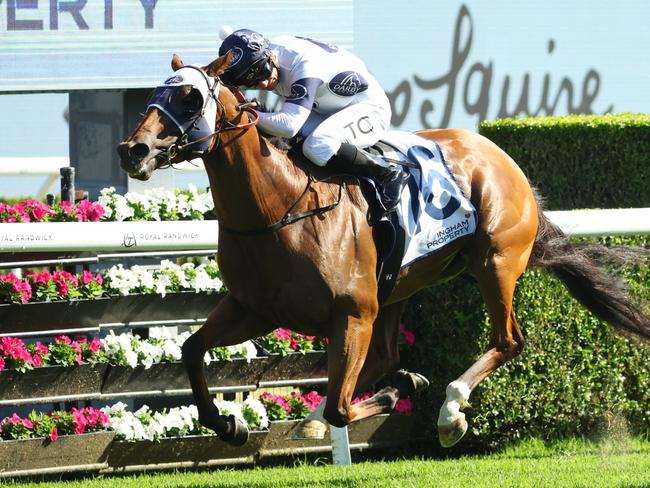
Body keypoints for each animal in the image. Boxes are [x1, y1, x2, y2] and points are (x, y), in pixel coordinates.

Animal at [116, 52, 648, 446]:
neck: (277, 208)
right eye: (154, 93)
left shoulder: (352, 312)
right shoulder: (255, 309)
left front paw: (394, 397)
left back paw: (449, 411)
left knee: (508, 341)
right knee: (387, 358)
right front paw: (229, 424)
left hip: (495, 262)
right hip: (397, 289)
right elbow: (190, 349)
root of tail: (500, 156)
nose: (132, 151)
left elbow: (340, 405)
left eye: (189, 97)